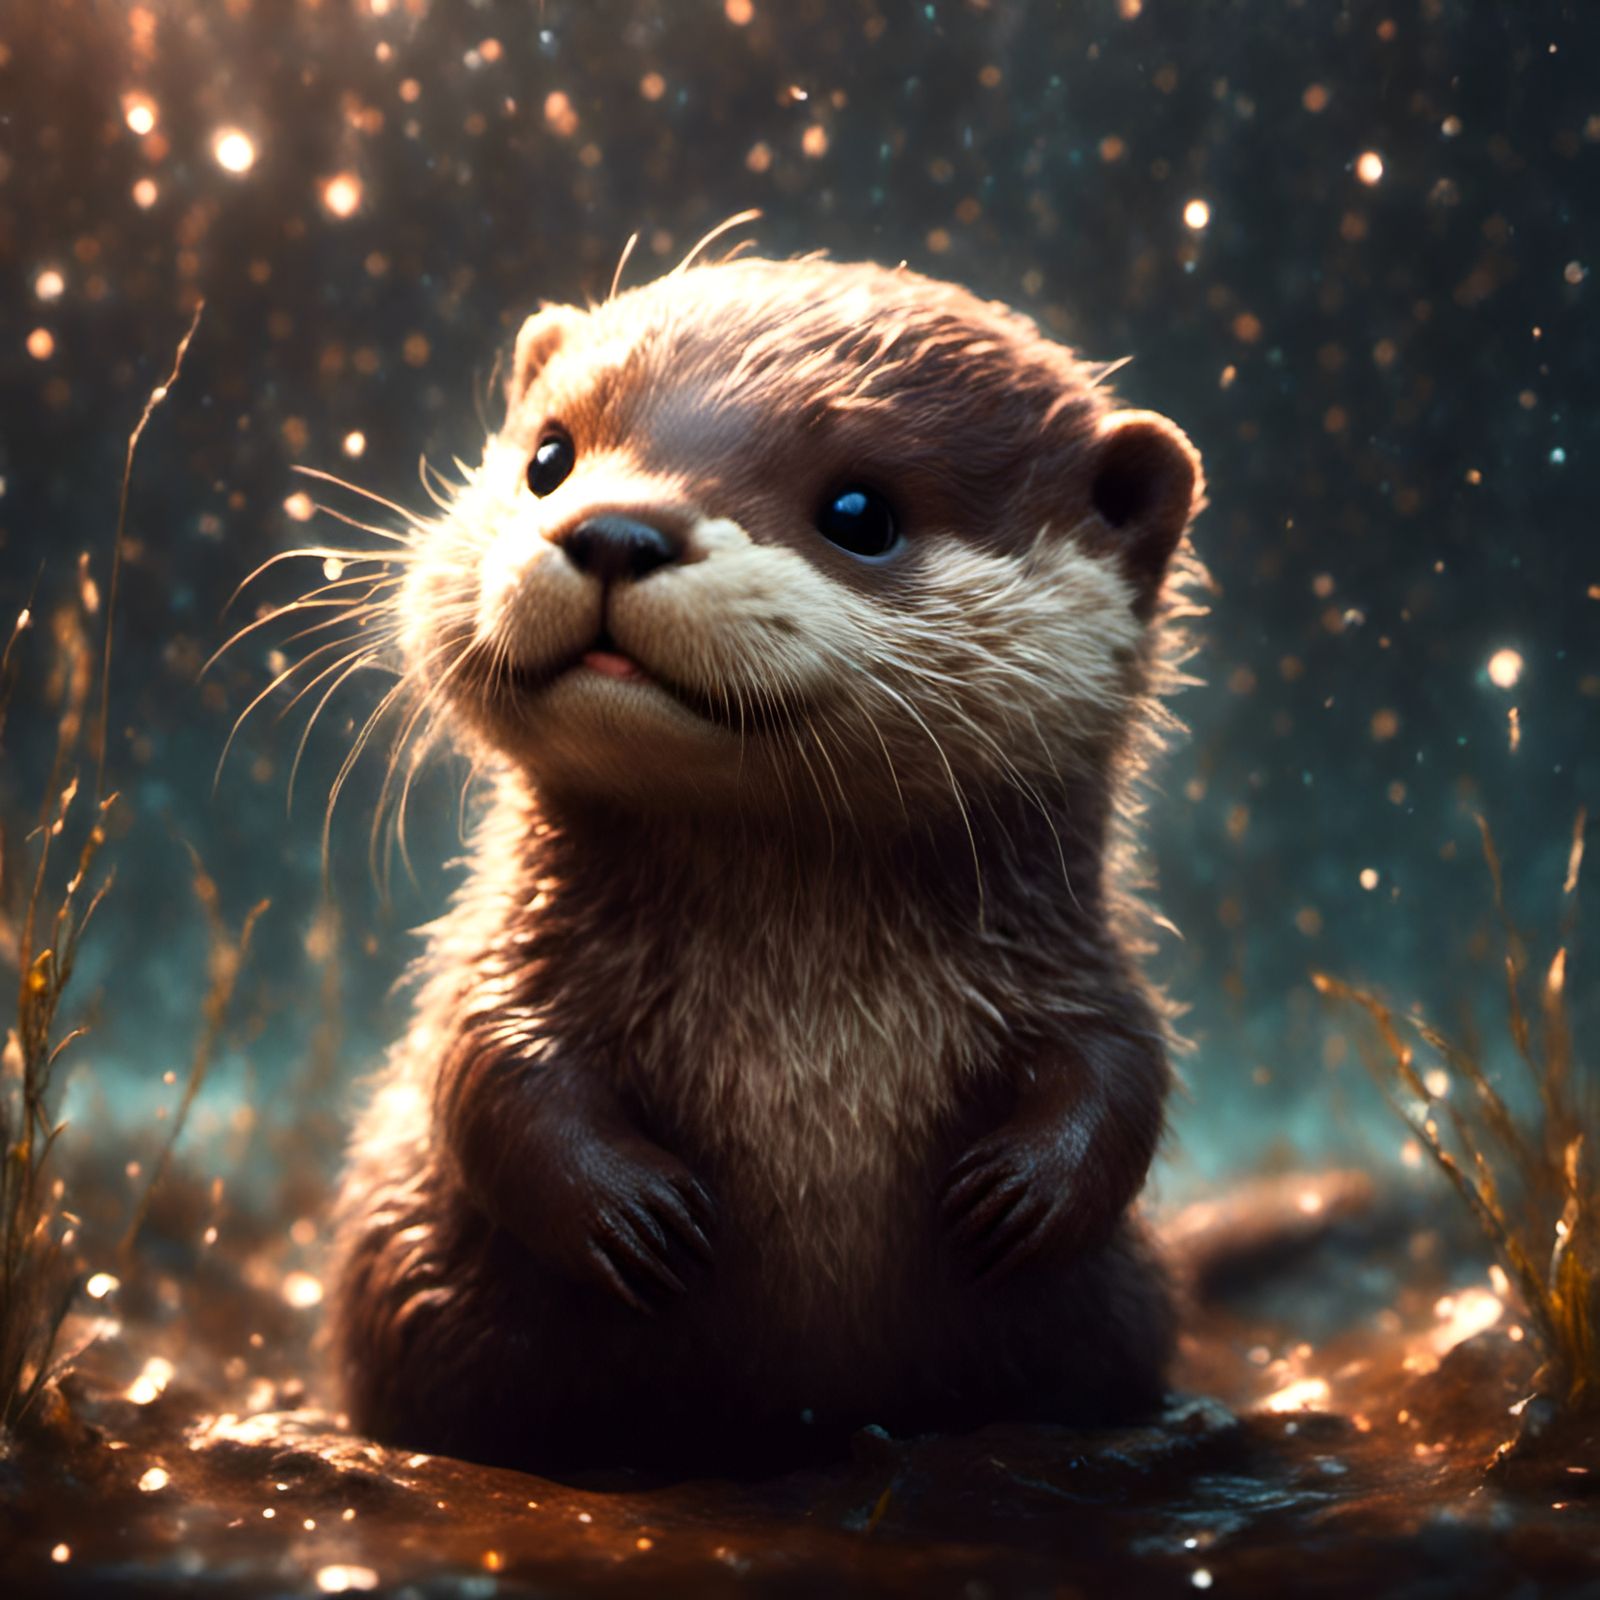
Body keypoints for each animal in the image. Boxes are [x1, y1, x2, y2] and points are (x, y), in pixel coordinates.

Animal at [327, 252, 1205, 1478]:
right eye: (548, 457)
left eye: (859, 511)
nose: (615, 529)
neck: (801, 1009)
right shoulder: (519, 953)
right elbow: (485, 1064)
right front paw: (633, 1215)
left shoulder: (1070, 964)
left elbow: (1124, 1065)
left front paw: (1024, 1195)